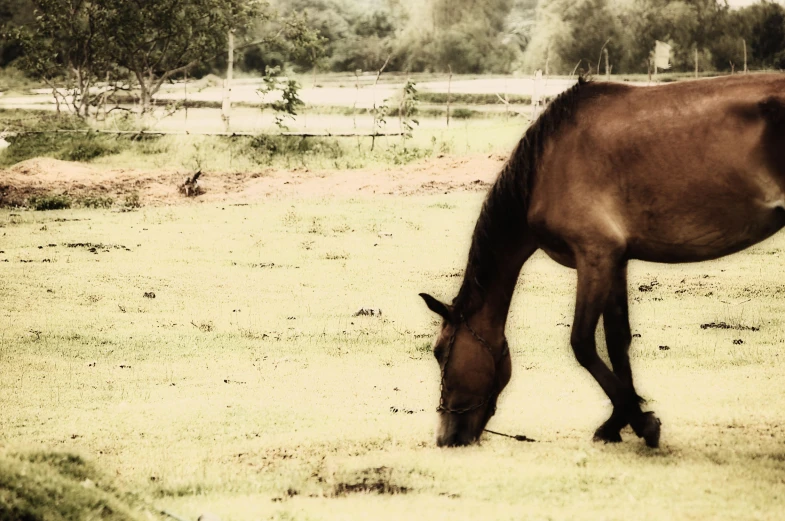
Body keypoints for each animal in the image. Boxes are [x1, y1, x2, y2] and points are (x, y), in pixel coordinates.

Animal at [420, 73, 784, 446]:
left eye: (438, 352)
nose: (446, 437)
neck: (547, 163)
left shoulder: (595, 256)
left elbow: (582, 343)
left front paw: (641, 421)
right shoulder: (615, 261)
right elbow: (618, 342)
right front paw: (620, 421)